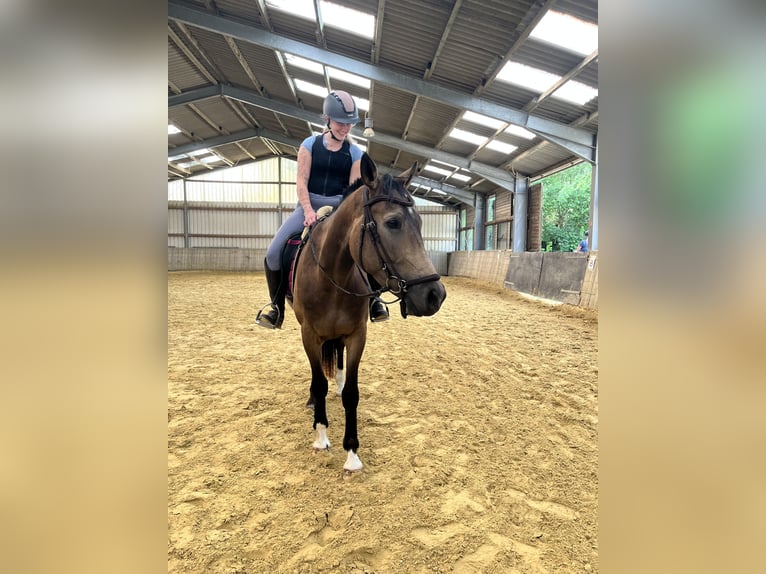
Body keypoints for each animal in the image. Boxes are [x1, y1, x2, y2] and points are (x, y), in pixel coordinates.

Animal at [288, 153, 446, 472]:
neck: (331, 276)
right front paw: (321, 436)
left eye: (420, 221)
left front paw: (352, 453)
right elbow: (318, 383)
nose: (435, 295)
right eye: (393, 222)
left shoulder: (356, 336)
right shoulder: (309, 335)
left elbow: (352, 393)